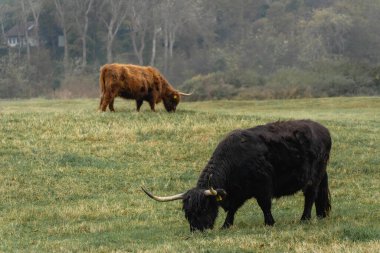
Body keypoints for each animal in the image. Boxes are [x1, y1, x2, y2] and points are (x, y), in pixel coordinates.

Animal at [141, 120, 332, 231]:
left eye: (203, 208)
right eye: (187, 213)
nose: (197, 230)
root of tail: (322, 129)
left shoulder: (263, 186)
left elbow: (265, 205)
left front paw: (269, 223)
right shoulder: (236, 192)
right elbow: (232, 209)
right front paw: (226, 225)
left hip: (314, 177)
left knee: (310, 196)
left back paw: (304, 219)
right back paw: (320, 215)